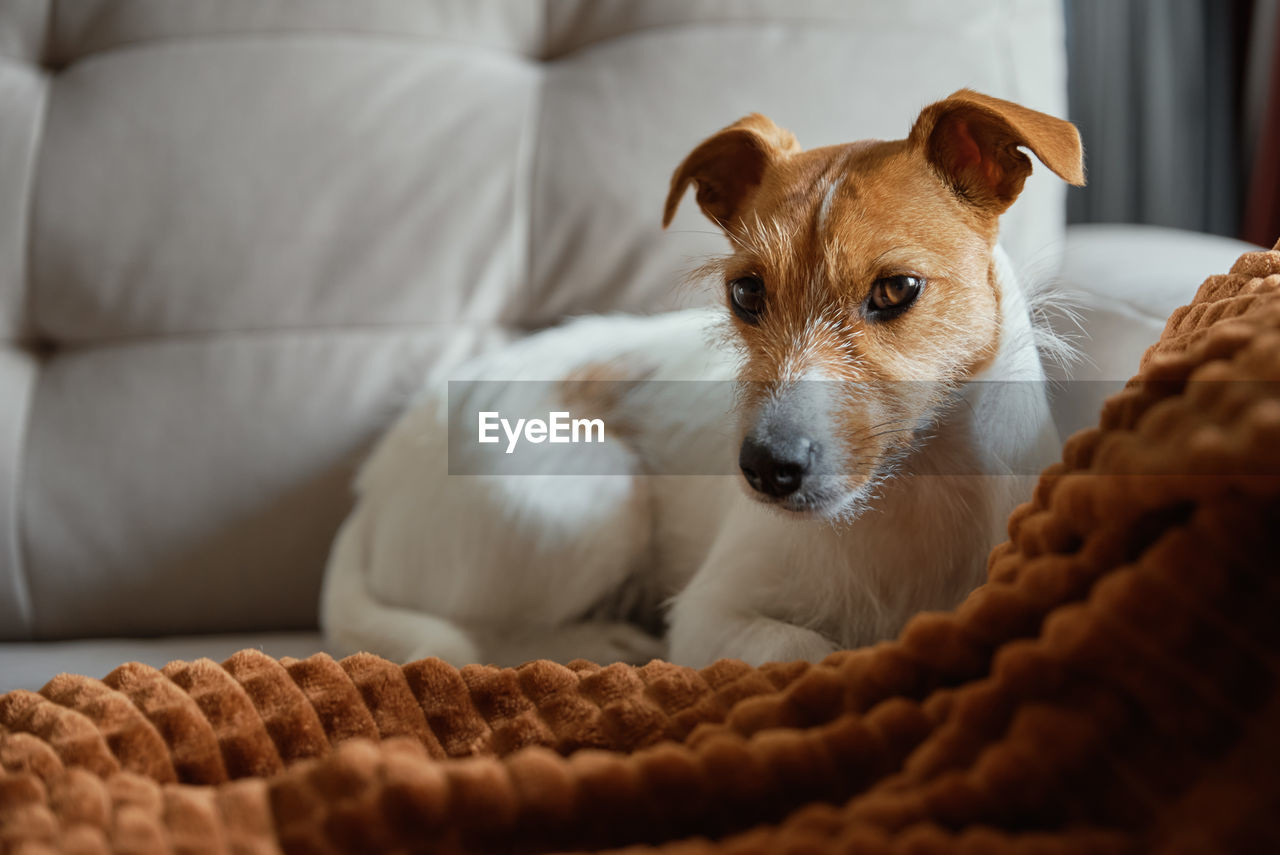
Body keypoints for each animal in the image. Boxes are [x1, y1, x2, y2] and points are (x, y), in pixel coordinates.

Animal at [325, 92, 1085, 665]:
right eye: (746, 292)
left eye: (897, 289)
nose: (765, 469)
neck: (914, 489)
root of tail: (372, 488)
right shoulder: (710, 614)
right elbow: (807, 647)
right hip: (595, 493)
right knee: (478, 636)